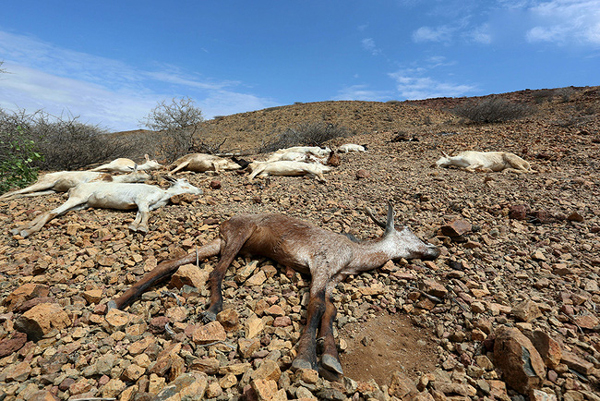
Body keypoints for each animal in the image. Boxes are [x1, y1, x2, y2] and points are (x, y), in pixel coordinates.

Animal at [110, 202, 438, 380]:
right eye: (413, 234)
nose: (434, 250)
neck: (354, 255)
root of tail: (225, 223)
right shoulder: (321, 265)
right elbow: (316, 307)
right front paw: (306, 359)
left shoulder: (332, 280)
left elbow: (330, 311)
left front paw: (331, 358)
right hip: (239, 236)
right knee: (216, 271)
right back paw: (213, 309)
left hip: (220, 242)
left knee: (173, 262)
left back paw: (119, 301)